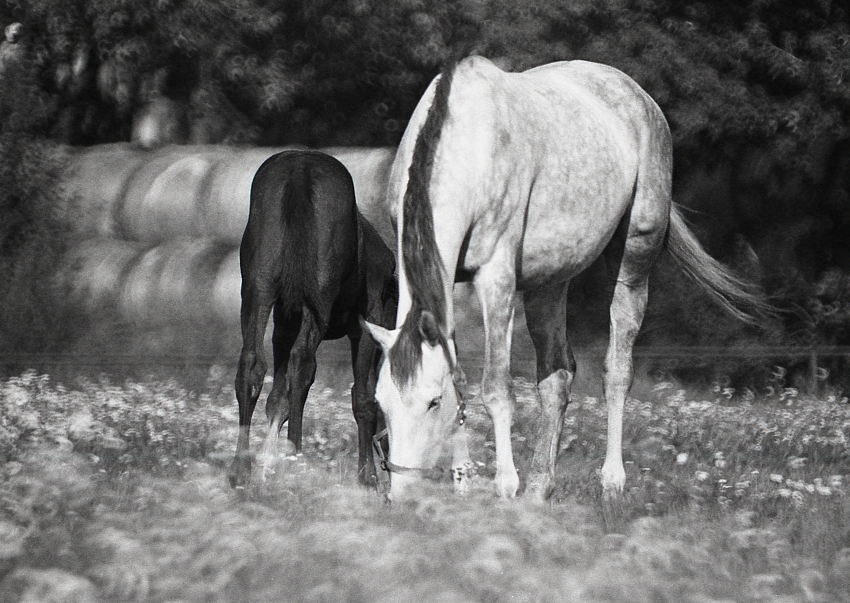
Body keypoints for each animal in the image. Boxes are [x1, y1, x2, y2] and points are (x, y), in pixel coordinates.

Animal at [227, 151, 396, 490]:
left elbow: (277, 398)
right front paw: (367, 476)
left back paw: (241, 469)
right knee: (303, 363)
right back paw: (295, 464)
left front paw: (266, 464)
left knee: (252, 364)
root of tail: (299, 168)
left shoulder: (284, 322)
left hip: (258, 288)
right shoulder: (368, 324)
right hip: (317, 297)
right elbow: (363, 397)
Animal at [362, 55, 764, 500]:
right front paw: (464, 481)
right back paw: (540, 486)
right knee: (557, 376)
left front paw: (504, 486)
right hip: (549, 283)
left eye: (433, 402)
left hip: (633, 261)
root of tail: (640, 97)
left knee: (617, 371)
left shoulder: (496, 280)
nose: (401, 493)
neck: (469, 147)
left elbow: (495, 387)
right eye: (381, 402)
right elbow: (465, 378)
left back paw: (611, 482)